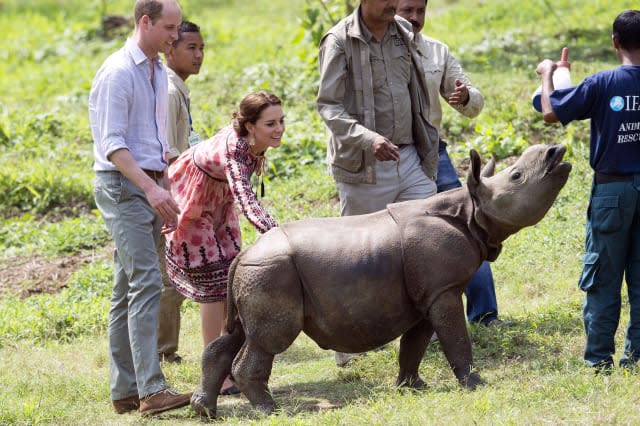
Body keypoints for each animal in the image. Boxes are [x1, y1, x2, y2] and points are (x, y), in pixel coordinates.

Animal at [192, 145, 572, 418]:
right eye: (518, 175)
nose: (557, 152)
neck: (470, 209)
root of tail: (243, 254)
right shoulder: (443, 290)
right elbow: (455, 339)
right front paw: (475, 384)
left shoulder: (429, 293)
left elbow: (415, 344)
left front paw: (413, 387)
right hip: (271, 272)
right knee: (268, 340)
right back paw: (271, 411)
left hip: (255, 274)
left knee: (237, 335)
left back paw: (204, 410)